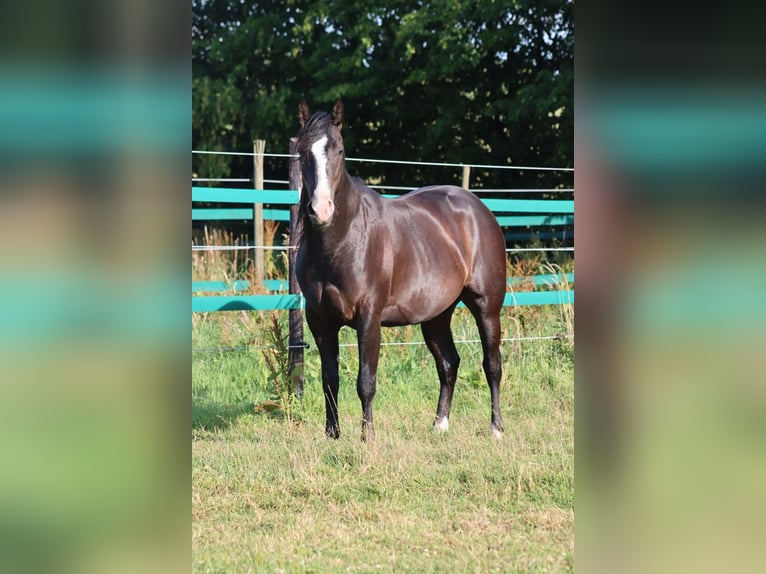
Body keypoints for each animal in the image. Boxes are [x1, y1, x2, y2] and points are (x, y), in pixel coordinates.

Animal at [294, 99, 507, 442]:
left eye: (339, 150)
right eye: (302, 152)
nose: (320, 210)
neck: (340, 243)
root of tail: (478, 209)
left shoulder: (369, 318)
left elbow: (366, 382)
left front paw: (367, 437)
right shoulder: (320, 320)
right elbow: (330, 381)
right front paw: (332, 435)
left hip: (487, 307)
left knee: (492, 364)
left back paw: (496, 428)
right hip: (436, 315)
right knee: (448, 363)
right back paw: (440, 425)